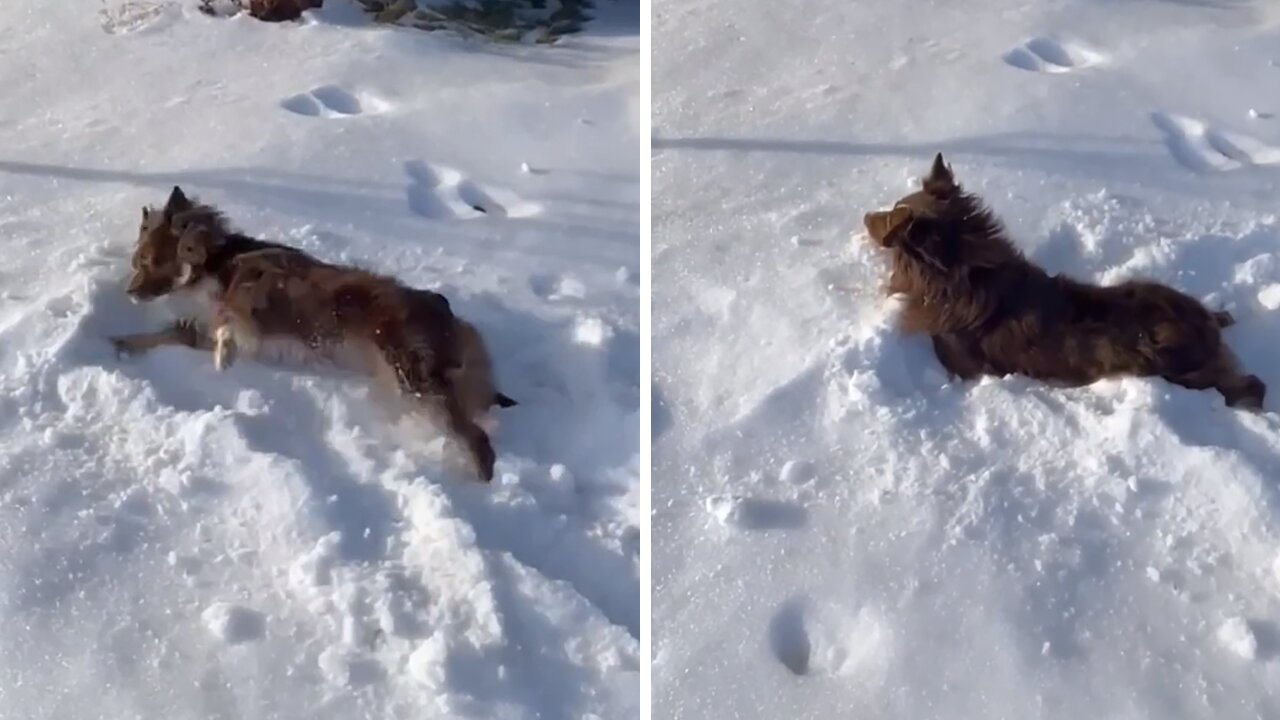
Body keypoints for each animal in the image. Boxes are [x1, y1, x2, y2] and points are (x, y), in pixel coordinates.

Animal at [106, 184, 514, 479]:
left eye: (148, 260)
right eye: (136, 261)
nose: (128, 292)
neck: (212, 265)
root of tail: (451, 316)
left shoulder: (255, 292)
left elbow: (229, 318)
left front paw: (224, 355)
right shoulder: (201, 330)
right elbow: (173, 333)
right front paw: (124, 342)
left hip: (412, 375)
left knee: (477, 439)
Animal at [855, 152, 1264, 409]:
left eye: (890, 217)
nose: (863, 215)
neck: (963, 272)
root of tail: (1206, 329)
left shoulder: (960, 361)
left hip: (1177, 371)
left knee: (1252, 386)